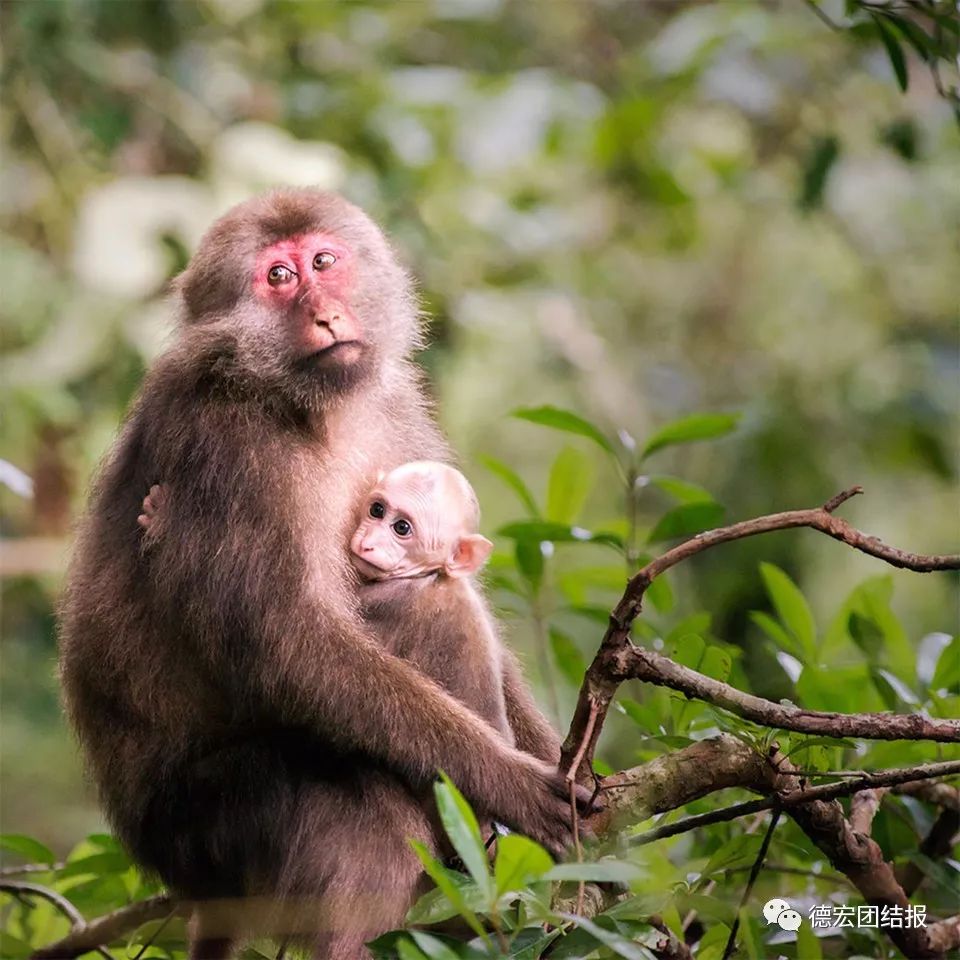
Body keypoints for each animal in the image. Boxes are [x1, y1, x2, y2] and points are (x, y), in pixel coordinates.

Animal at [60, 189, 588, 960]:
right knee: (357, 797)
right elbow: (283, 641)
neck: (307, 402)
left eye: (323, 262)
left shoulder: (394, 407)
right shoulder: (229, 442)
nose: (326, 313)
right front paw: (509, 783)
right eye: (278, 277)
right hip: (210, 826)